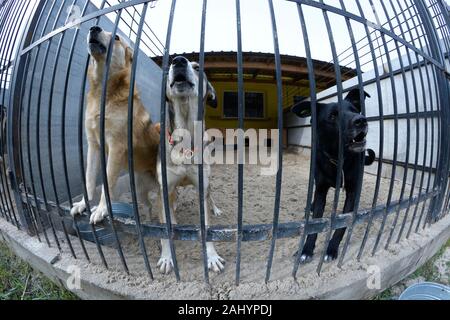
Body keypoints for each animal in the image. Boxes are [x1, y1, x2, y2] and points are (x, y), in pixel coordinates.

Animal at [71, 26, 160, 224]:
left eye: (117, 37)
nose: (94, 28)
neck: (104, 94)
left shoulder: (116, 147)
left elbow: (108, 184)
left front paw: (102, 209)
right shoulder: (94, 146)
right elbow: (89, 179)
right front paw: (83, 204)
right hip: (141, 189)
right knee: (150, 205)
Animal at [156, 56, 225, 274]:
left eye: (197, 67)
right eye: (170, 65)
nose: (178, 61)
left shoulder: (202, 185)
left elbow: (207, 227)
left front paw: (212, 257)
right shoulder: (165, 186)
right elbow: (164, 230)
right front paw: (167, 257)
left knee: (211, 196)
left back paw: (215, 208)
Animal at [290, 87, 374, 262]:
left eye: (354, 110)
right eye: (332, 116)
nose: (361, 120)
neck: (338, 159)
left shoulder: (352, 190)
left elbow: (342, 225)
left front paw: (332, 248)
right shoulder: (321, 189)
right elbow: (315, 223)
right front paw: (306, 249)